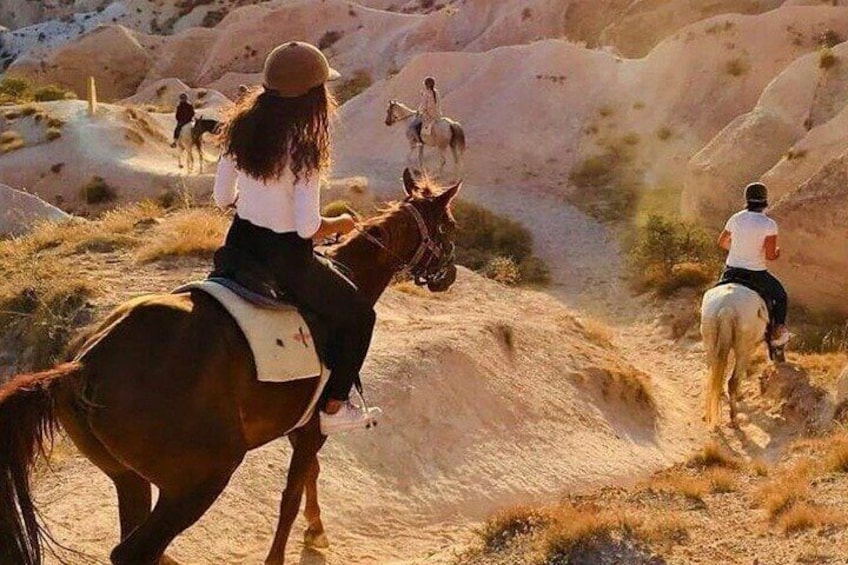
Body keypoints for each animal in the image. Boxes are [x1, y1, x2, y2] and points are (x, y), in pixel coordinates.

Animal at [0, 170, 464, 564]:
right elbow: (291, 495)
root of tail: (84, 366)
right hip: (200, 479)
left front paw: (316, 530)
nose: (449, 276)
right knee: (134, 551)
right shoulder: (314, 426)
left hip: (127, 476)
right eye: (450, 226)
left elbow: (309, 477)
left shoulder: (300, 426)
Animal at [700, 284, 784, 426]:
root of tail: (727, 307)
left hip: (710, 342)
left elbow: (726, 365)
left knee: (713, 372)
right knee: (733, 381)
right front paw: (739, 395)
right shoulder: (750, 348)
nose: (781, 359)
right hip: (743, 347)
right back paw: (734, 418)